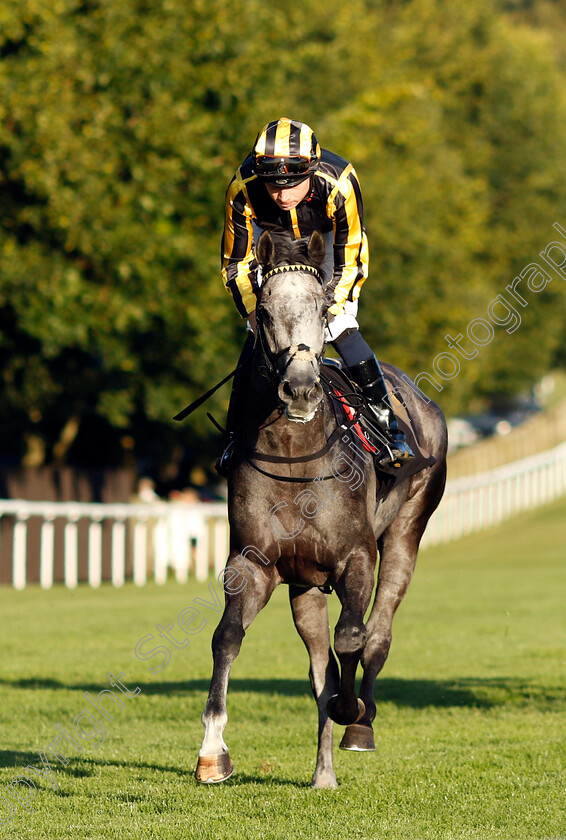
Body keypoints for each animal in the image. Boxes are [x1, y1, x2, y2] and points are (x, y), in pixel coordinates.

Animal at [195, 230, 448, 788]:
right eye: (265, 311)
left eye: (319, 307)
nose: (301, 388)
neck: (295, 456)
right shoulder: (253, 563)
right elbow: (227, 639)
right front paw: (212, 752)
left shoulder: (356, 557)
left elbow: (353, 638)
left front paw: (353, 712)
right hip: (305, 586)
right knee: (320, 666)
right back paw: (323, 773)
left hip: (407, 531)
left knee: (378, 633)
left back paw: (359, 725)